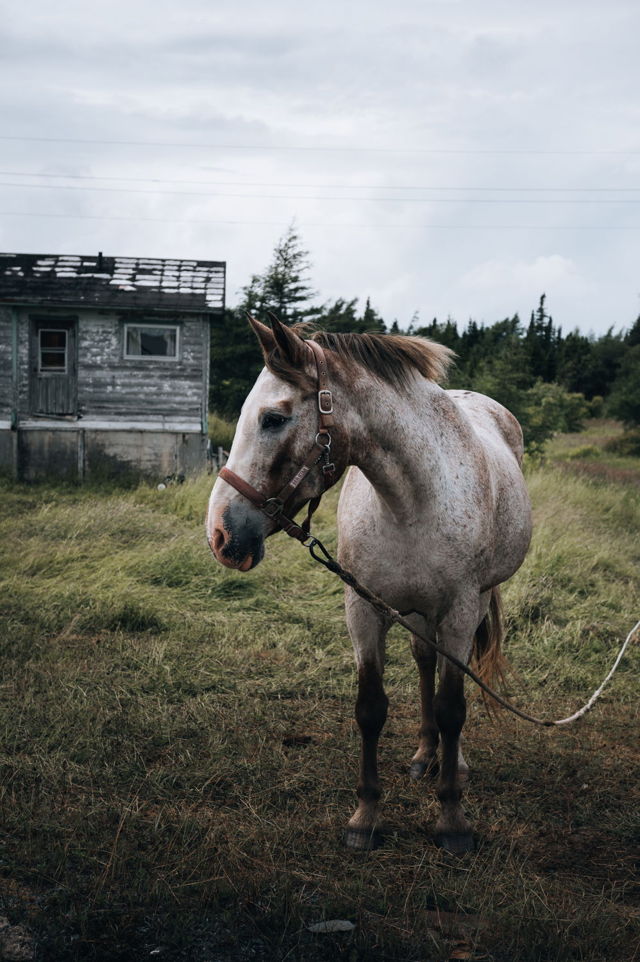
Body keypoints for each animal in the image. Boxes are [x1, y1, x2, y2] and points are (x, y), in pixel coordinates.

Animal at [206, 316, 532, 854]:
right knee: (424, 662)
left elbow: (453, 708)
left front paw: (452, 820)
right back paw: (425, 755)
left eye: (272, 419)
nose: (220, 536)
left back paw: (454, 763)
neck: (412, 502)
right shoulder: (363, 610)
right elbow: (371, 709)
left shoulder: (461, 611)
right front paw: (365, 817)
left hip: (472, 602)